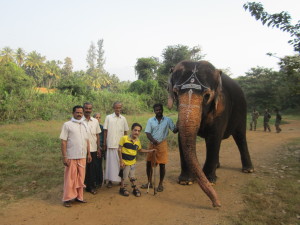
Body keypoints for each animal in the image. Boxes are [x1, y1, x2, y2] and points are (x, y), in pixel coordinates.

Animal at [168, 60, 254, 207]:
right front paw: (185, 181)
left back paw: (248, 170)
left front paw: (210, 181)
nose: (216, 204)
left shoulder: (222, 107)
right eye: (175, 93)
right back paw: (217, 166)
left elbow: (214, 138)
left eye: (207, 96)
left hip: (242, 109)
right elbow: (181, 138)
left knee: (240, 136)